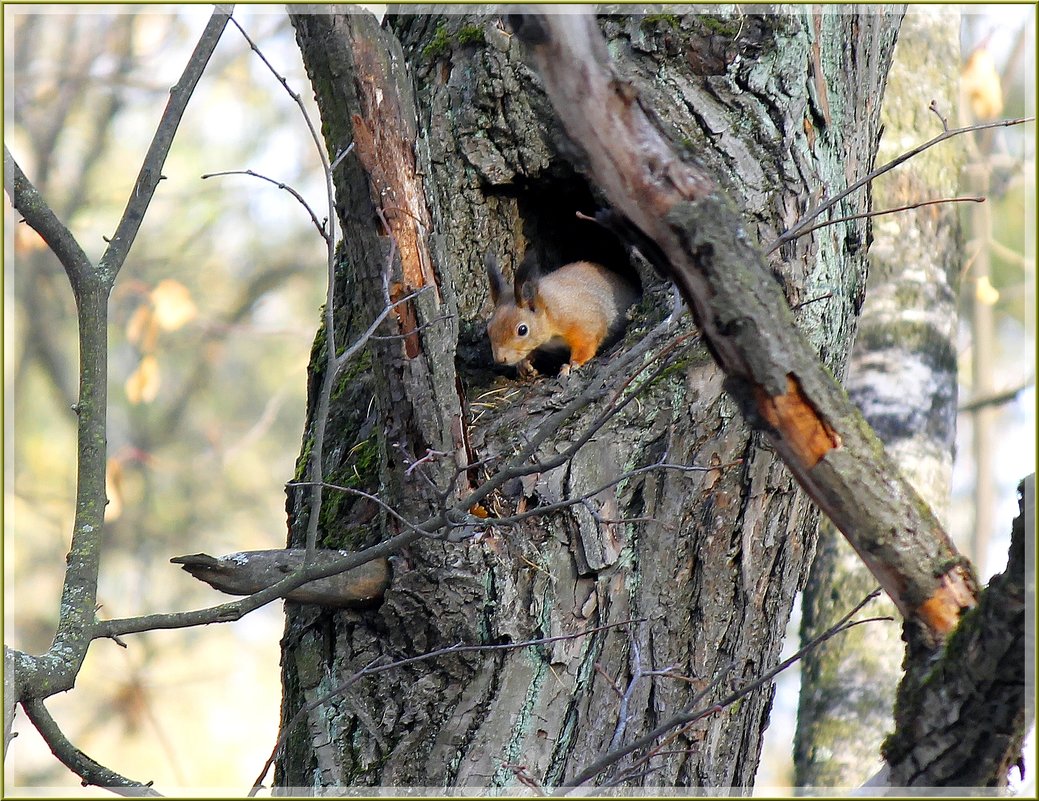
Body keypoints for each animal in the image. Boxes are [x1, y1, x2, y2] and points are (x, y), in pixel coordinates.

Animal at [486, 250, 640, 376]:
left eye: (522, 330)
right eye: (489, 328)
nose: (500, 359)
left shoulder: (582, 320)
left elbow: (587, 342)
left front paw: (573, 363)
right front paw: (523, 364)